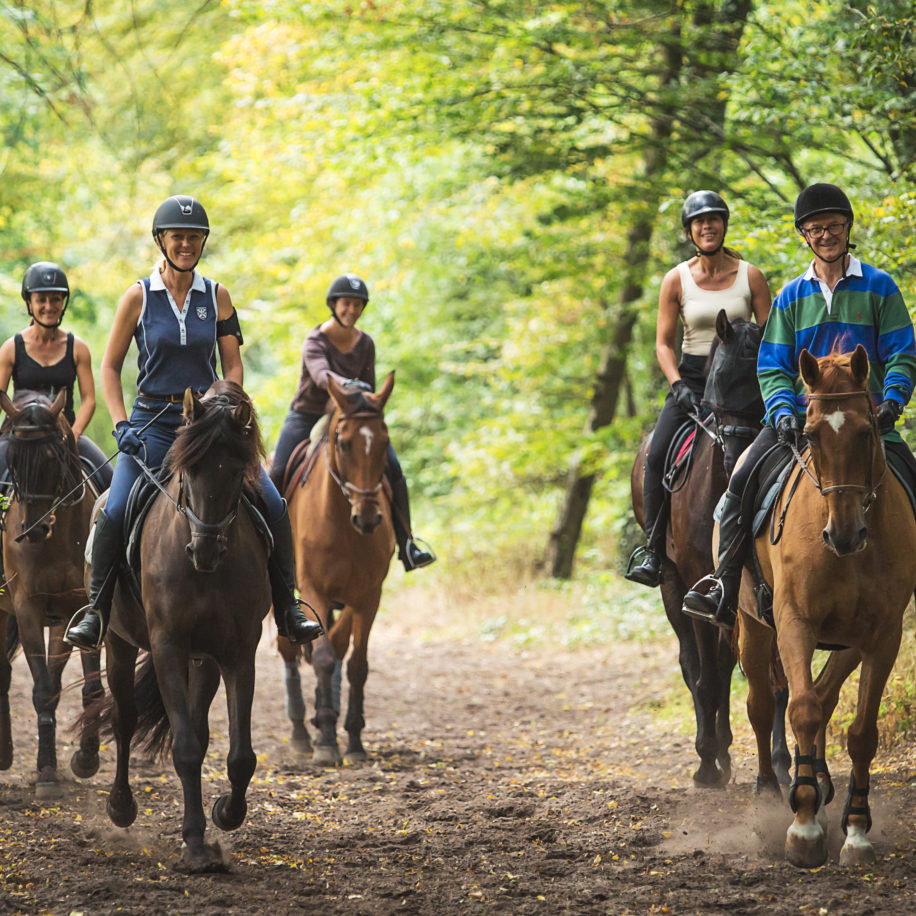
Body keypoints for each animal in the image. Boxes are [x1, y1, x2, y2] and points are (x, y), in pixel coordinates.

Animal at [0, 390, 103, 796]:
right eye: (13, 460)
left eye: (53, 456)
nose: (33, 530)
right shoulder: (26, 608)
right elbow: (42, 689)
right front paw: (45, 772)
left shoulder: (81, 608)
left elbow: (85, 687)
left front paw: (85, 759)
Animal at [101, 382, 272, 872]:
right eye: (188, 470)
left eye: (236, 473)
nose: (205, 550)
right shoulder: (168, 648)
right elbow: (185, 749)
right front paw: (196, 847)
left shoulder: (239, 652)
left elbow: (239, 755)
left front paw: (226, 815)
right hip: (118, 643)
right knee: (123, 718)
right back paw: (121, 806)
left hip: (205, 660)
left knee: (198, 726)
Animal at [278, 370, 396, 764]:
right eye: (343, 444)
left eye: (385, 442)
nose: (369, 517)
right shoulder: (314, 589)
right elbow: (325, 658)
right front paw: (327, 741)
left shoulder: (368, 596)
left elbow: (355, 663)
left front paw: (354, 739)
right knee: (288, 650)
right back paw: (302, 732)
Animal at [628, 314, 788, 788]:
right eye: (716, 379)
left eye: (760, 382)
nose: (737, 454)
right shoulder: (694, 583)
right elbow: (708, 676)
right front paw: (706, 763)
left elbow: (772, 675)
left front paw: (778, 762)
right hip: (670, 583)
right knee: (694, 664)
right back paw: (713, 754)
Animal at [736, 348, 916, 868]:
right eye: (811, 435)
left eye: (867, 431)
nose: (844, 534)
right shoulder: (794, 622)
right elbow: (801, 711)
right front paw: (802, 828)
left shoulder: (882, 635)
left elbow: (860, 732)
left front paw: (854, 829)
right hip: (753, 627)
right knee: (762, 705)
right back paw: (770, 795)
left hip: (847, 641)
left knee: (824, 691)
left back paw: (815, 781)